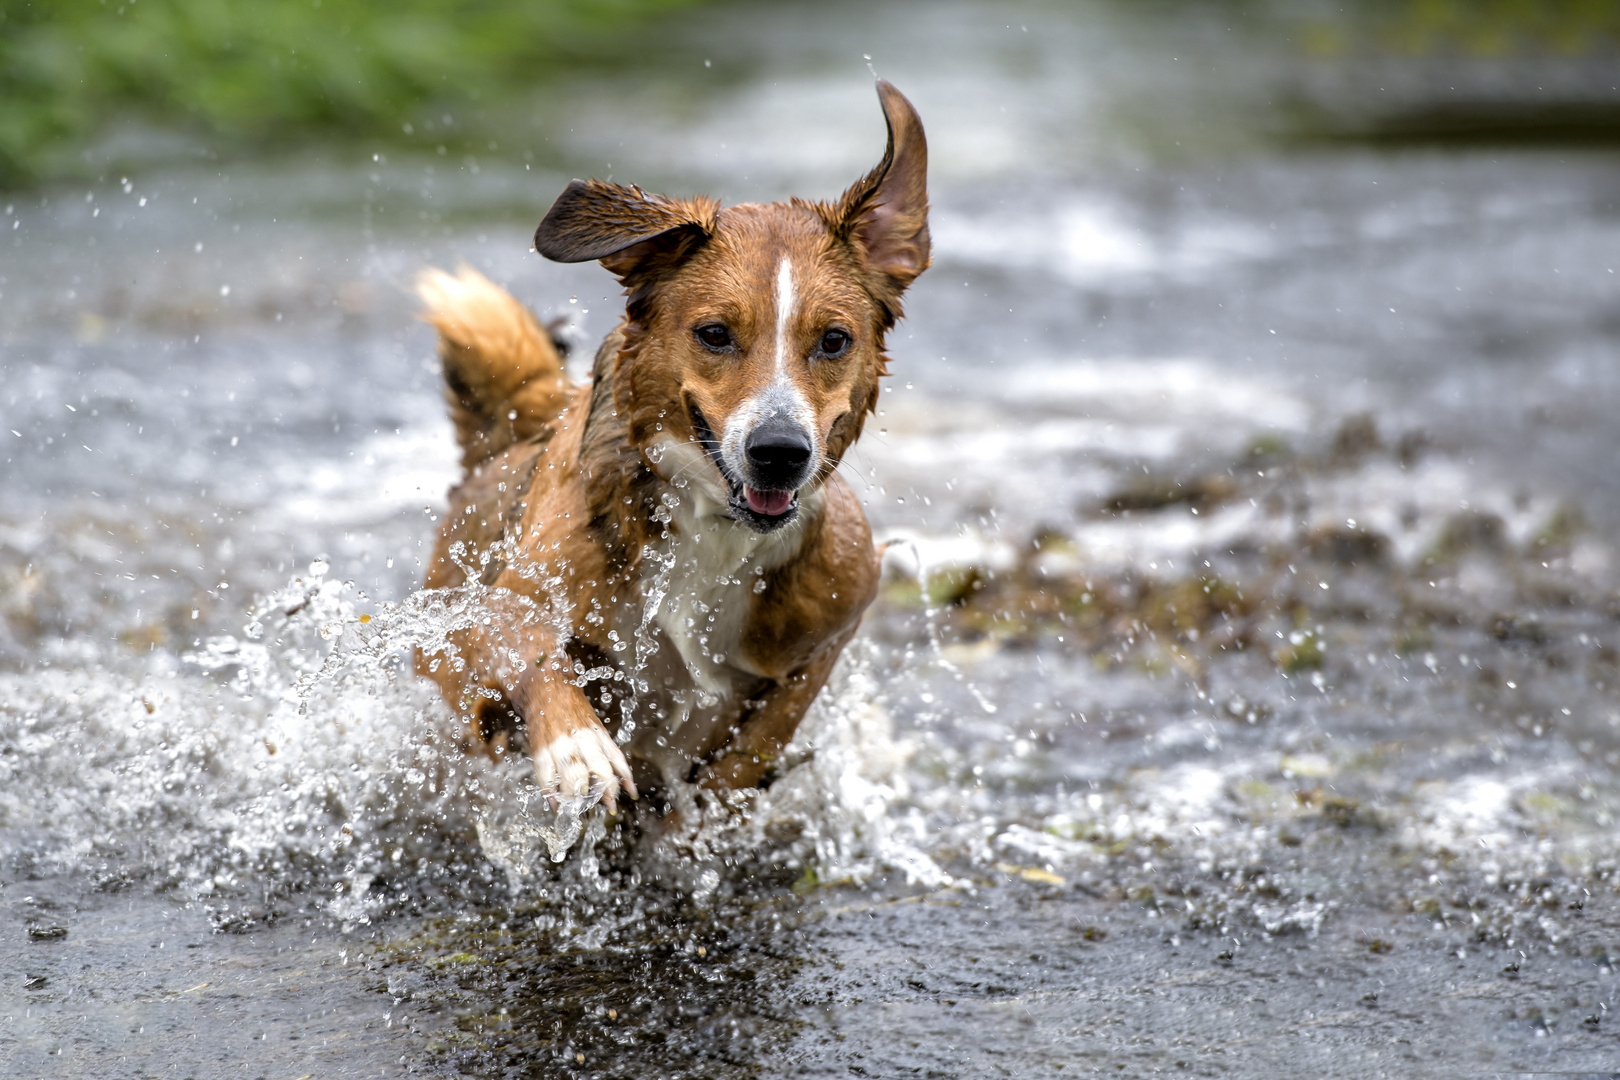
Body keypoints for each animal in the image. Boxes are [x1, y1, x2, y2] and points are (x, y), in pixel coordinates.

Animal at [411, 80, 933, 816]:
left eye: (834, 340)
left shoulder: (841, 611)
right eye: (714, 333)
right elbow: (529, 644)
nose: (781, 451)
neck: (714, 526)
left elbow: (765, 733)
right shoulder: (489, 610)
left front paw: (720, 796)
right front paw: (576, 745)